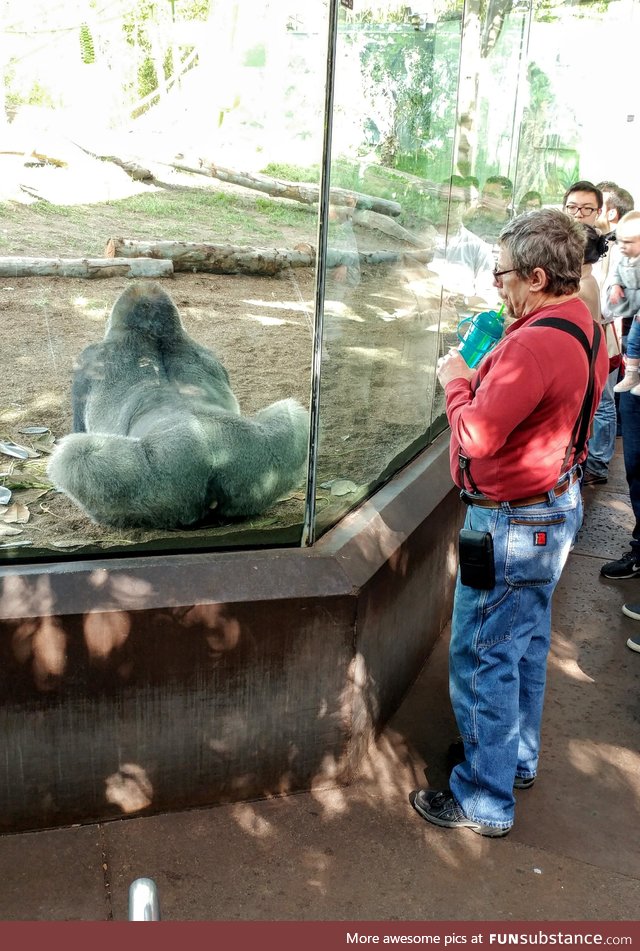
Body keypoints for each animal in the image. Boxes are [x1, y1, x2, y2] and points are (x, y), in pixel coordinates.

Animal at [48, 282, 310, 536]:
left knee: (77, 456)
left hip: (161, 488)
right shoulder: (211, 355)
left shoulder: (88, 359)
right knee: (292, 416)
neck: (154, 335)